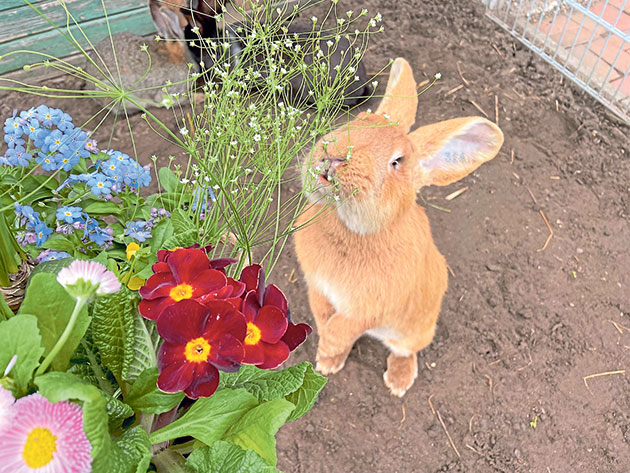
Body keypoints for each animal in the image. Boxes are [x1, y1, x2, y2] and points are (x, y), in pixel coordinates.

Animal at [294, 57, 506, 396]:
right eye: (360, 119)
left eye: (397, 162)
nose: (335, 157)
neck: (350, 229)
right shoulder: (318, 286)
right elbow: (324, 314)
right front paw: (325, 356)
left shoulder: (371, 307)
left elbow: (342, 327)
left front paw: (326, 347)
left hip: (414, 330)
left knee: (405, 351)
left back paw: (397, 383)